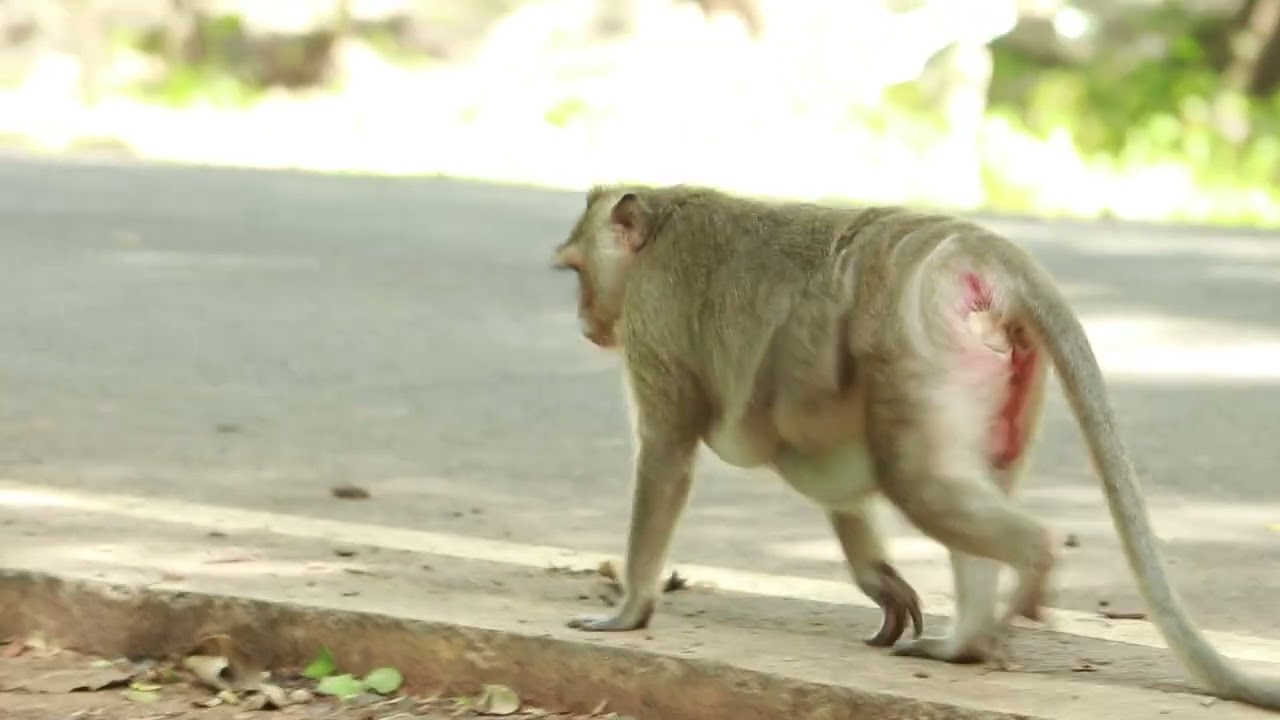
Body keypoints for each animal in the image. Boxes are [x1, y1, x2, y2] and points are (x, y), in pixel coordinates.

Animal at [548, 183, 1280, 711]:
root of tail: (979, 250)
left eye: (579, 271)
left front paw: (629, 611)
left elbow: (668, 454)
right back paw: (965, 645)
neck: (659, 226)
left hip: (915, 344)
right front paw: (880, 581)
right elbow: (825, 468)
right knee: (957, 481)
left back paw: (1031, 564)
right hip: (1002, 371)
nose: (583, 320)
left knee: (919, 481)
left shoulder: (653, 323)